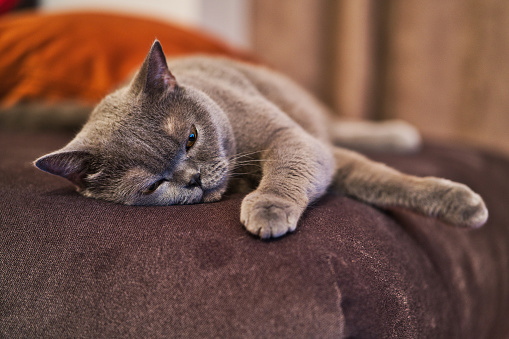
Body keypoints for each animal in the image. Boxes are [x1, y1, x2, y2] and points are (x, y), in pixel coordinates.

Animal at [34, 40, 488, 239]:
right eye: (152, 186)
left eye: (191, 138)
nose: (193, 178)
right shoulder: (318, 150)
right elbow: (366, 177)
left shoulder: (291, 136)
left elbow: (373, 177)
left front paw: (268, 209)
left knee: (339, 125)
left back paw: (399, 133)